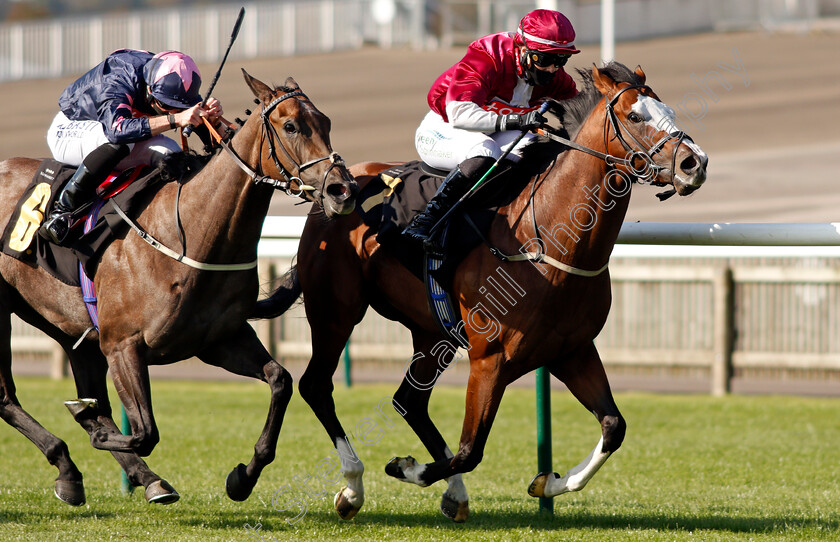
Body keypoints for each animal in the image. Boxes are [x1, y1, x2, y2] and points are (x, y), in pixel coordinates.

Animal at [0, 71, 358, 506]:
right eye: (290, 126)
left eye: (325, 122)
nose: (343, 190)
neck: (190, 230)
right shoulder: (122, 345)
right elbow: (144, 431)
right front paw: (92, 422)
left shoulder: (218, 339)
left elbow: (280, 381)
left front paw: (243, 477)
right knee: (6, 397)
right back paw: (69, 462)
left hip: (71, 331)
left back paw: (116, 473)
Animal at [254, 61, 708, 524]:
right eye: (635, 116)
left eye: (669, 110)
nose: (695, 163)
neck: (546, 238)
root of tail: (335, 190)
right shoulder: (490, 360)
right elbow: (471, 450)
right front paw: (405, 467)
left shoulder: (573, 351)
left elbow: (614, 426)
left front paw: (547, 482)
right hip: (336, 309)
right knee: (316, 385)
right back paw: (352, 488)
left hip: (430, 329)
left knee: (408, 401)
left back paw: (450, 492)